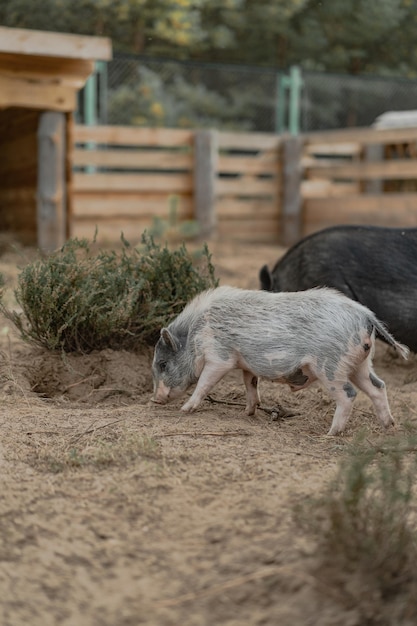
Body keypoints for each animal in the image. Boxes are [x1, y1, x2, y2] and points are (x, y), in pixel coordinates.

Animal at [151, 284, 408, 434]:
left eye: (163, 364)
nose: (155, 399)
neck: (196, 333)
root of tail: (366, 316)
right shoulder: (246, 364)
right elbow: (250, 385)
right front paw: (247, 413)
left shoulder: (220, 358)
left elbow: (204, 383)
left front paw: (185, 409)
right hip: (361, 364)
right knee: (378, 387)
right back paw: (389, 427)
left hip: (331, 367)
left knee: (348, 394)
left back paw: (330, 433)